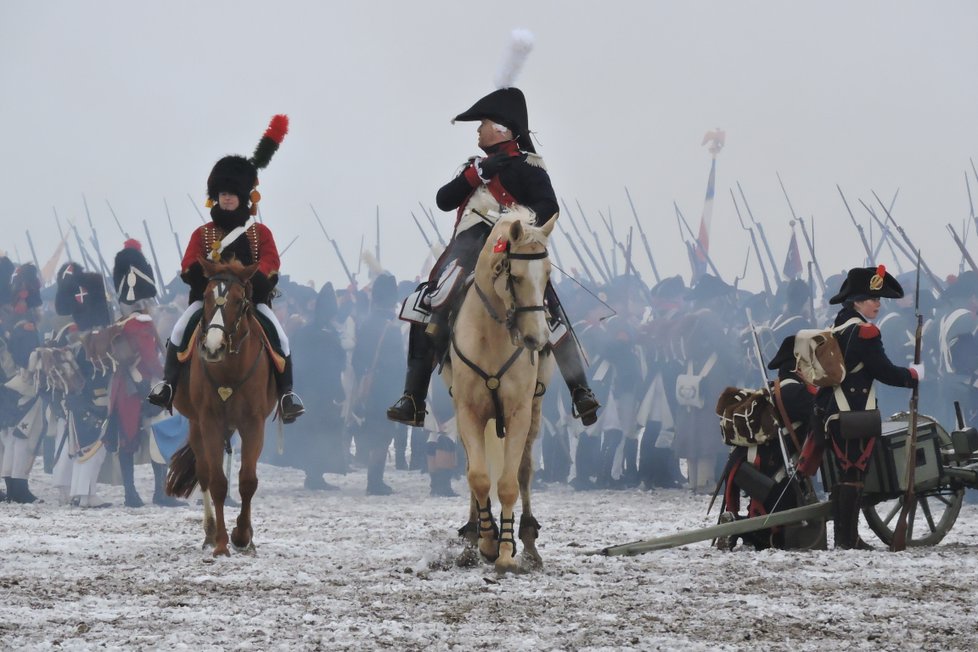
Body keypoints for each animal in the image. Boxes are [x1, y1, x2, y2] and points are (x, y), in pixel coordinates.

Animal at [165, 258, 274, 556]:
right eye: (205, 296)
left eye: (239, 300)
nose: (213, 348)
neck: (229, 371)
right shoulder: (209, 421)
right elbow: (217, 483)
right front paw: (223, 543)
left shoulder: (253, 423)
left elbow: (247, 481)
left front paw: (243, 537)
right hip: (196, 425)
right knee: (204, 474)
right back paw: (210, 533)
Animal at [444, 211, 552, 572]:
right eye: (515, 276)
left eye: (547, 276)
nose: (538, 340)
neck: (490, 334)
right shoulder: (468, 412)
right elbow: (478, 477)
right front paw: (487, 541)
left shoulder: (518, 413)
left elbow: (507, 483)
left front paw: (505, 551)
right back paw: (470, 536)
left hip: (534, 412)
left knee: (524, 470)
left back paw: (528, 542)